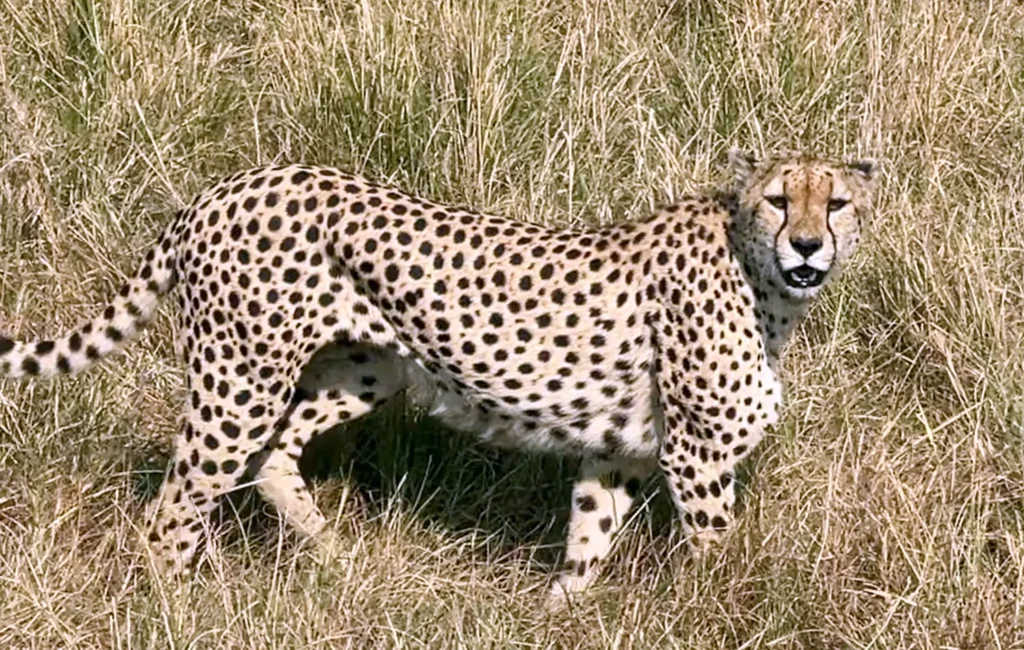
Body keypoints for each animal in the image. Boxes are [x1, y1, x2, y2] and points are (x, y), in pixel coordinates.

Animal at [0, 149, 877, 604]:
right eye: (778, 200)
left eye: (834, 203)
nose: (807, 245)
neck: (765, 284)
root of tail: (223, 187)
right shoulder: (696, 454)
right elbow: (717, 549)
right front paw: (717, 606)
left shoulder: (618, 451)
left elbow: (587, 540)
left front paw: (560, 617)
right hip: (240, 378)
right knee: (175, 507)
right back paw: (175, 605)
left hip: (364, 368)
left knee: (273, 457)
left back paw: (337, 560)